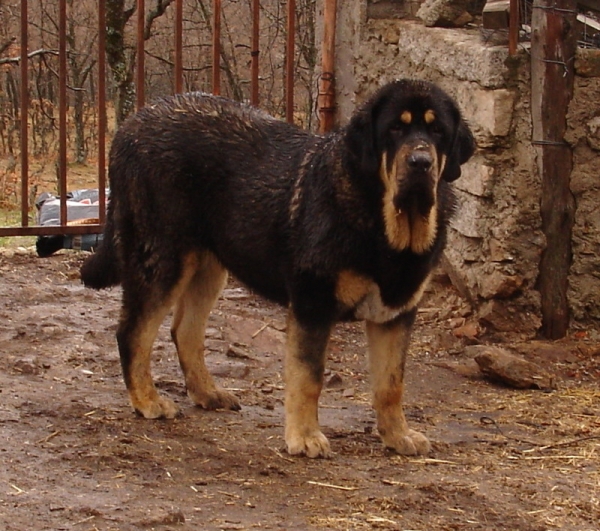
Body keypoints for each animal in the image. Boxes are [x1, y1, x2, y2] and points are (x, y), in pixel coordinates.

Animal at [81, 79, 474, 458]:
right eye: (394, 129)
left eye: (438, 132)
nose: (421, 162)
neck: (383, 223)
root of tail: (131, 125)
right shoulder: (312, 305)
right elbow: (308, 378)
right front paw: (305, 437)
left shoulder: (395, 314)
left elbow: (391, 384)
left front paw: (397, 435)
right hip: (163, 260)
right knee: (133, 332)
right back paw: (147, 401)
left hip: (208, 267)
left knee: (185, 331)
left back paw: (208, 393)